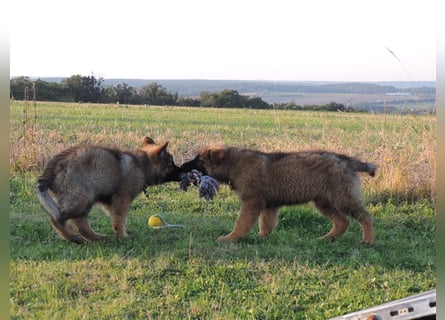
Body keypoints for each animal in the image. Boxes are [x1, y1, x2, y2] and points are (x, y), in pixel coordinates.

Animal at [35, 136, 180, 244]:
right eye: (171, 165)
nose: (183, 172)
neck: (142, 165)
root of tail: (49, 173)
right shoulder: (122, 199)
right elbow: (119, 219)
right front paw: (123, 236)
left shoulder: (110, 200)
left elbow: (116, 218)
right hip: (82, 198)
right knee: (57, 218)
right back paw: (73, 237)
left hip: (84, 199)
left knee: (80, 223)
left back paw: (96, 238)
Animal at [179, 144, 376, 244]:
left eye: (198, 160)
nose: (180, 167)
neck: (234, 163)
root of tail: (347, 160)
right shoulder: (269, 206)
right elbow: (265, 225)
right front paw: (261, 238)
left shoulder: (252, 202)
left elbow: (242, 223)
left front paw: (231, 238)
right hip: (323, 201)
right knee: (342, 221)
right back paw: (327, 238)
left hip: (343, 198)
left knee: (365, 216)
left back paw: (367, 240)